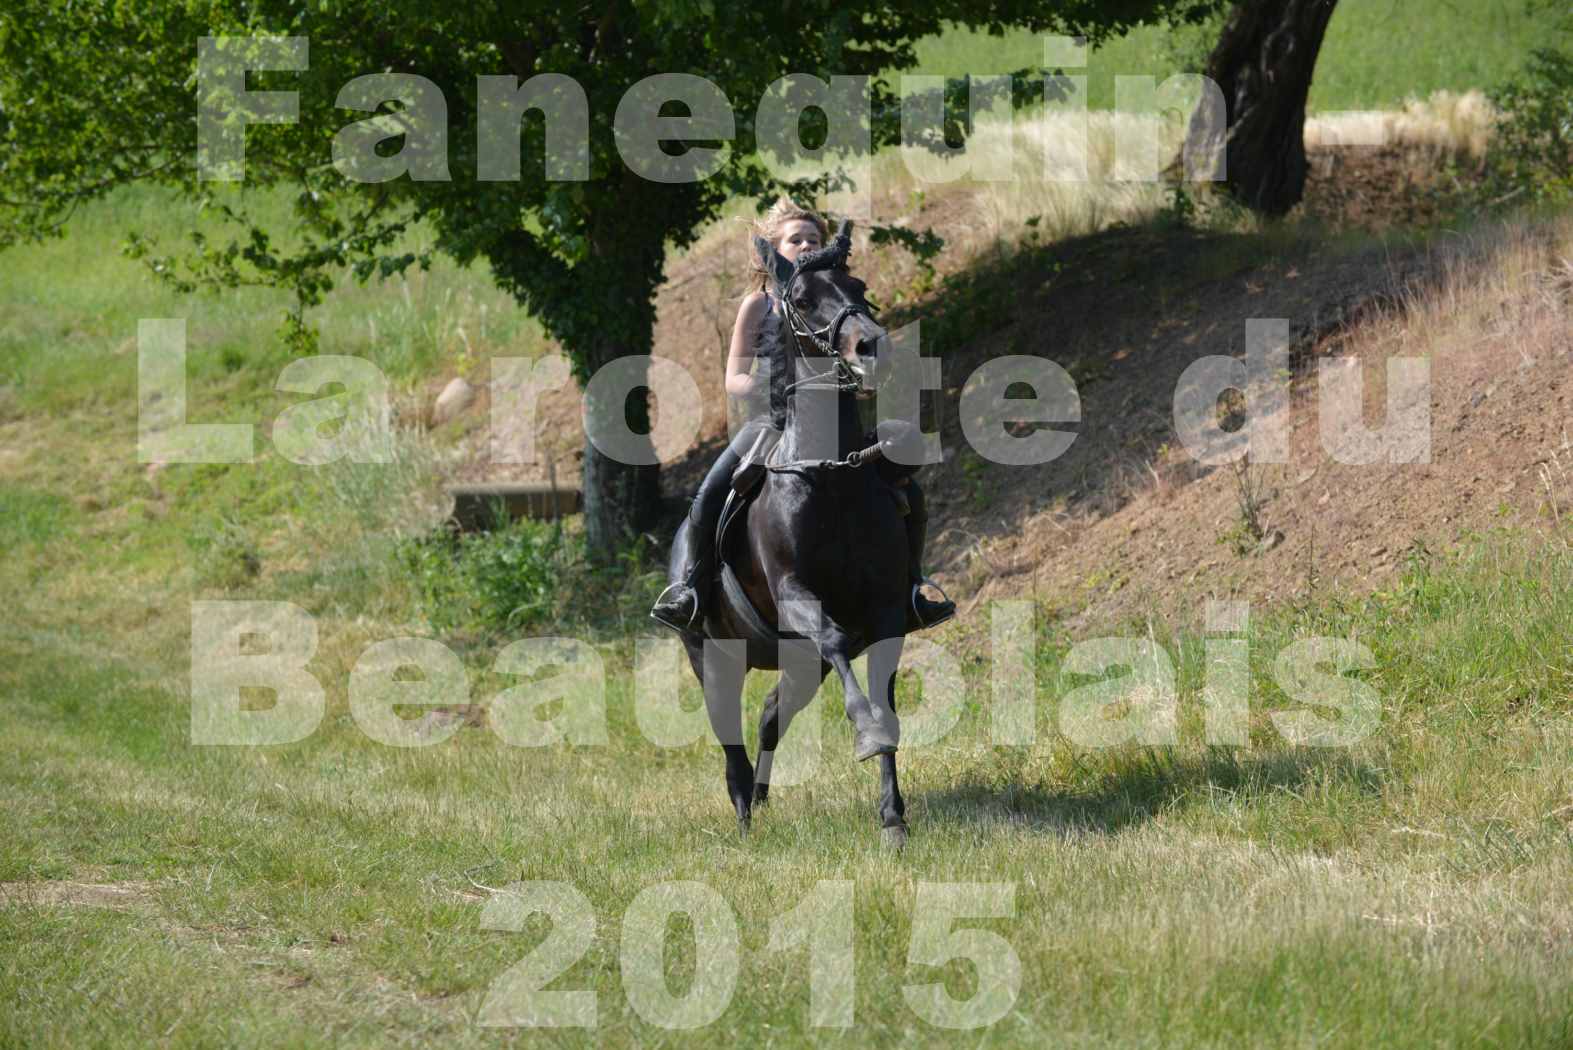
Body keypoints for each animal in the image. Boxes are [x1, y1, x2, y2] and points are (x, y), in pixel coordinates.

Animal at [663, 216, 918, 848]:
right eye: (799, 300)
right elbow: (834, 638)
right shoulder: (797, 596)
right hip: (710, 656)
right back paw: (744, 814)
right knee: (730, 734)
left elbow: (882, 696)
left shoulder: (885, 610)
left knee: (771, 715)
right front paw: (867, 736)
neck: (829, 478)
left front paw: (893, 818)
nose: (872, 348)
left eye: (858, 284)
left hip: (797, 664)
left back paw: (760, 796)